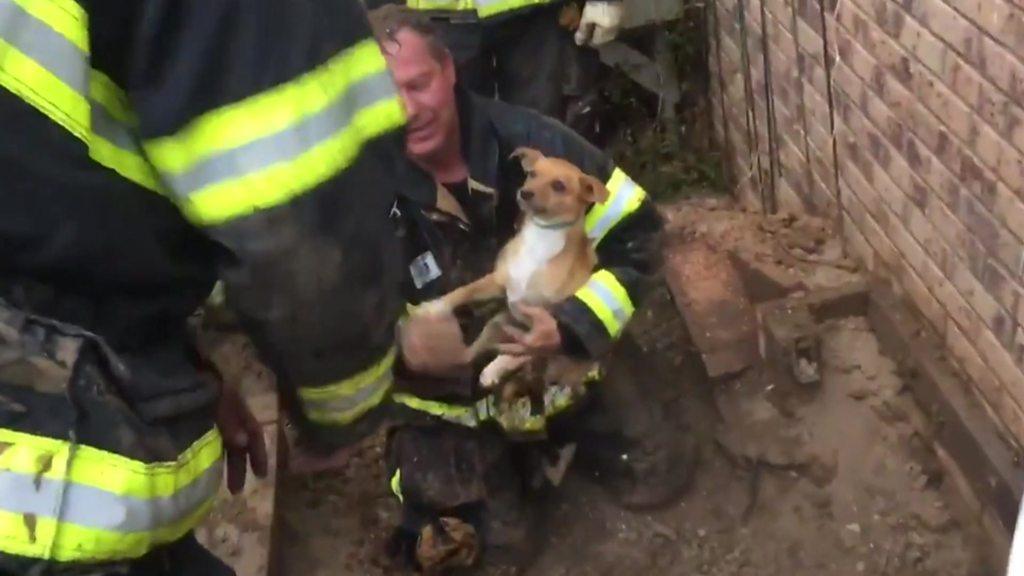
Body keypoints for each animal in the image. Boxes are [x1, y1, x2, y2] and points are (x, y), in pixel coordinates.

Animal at [415, 145, 606, 401]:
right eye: (532, 174)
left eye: (559, 185)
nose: (525, 193)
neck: (540, 239)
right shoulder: (497, 281)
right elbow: (463, 291)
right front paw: (434, 307)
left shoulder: (543, 323)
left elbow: (526, 350)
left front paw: (500, 365)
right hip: (494, 325)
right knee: (467, 355)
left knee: (524, 355)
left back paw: (494, 369)